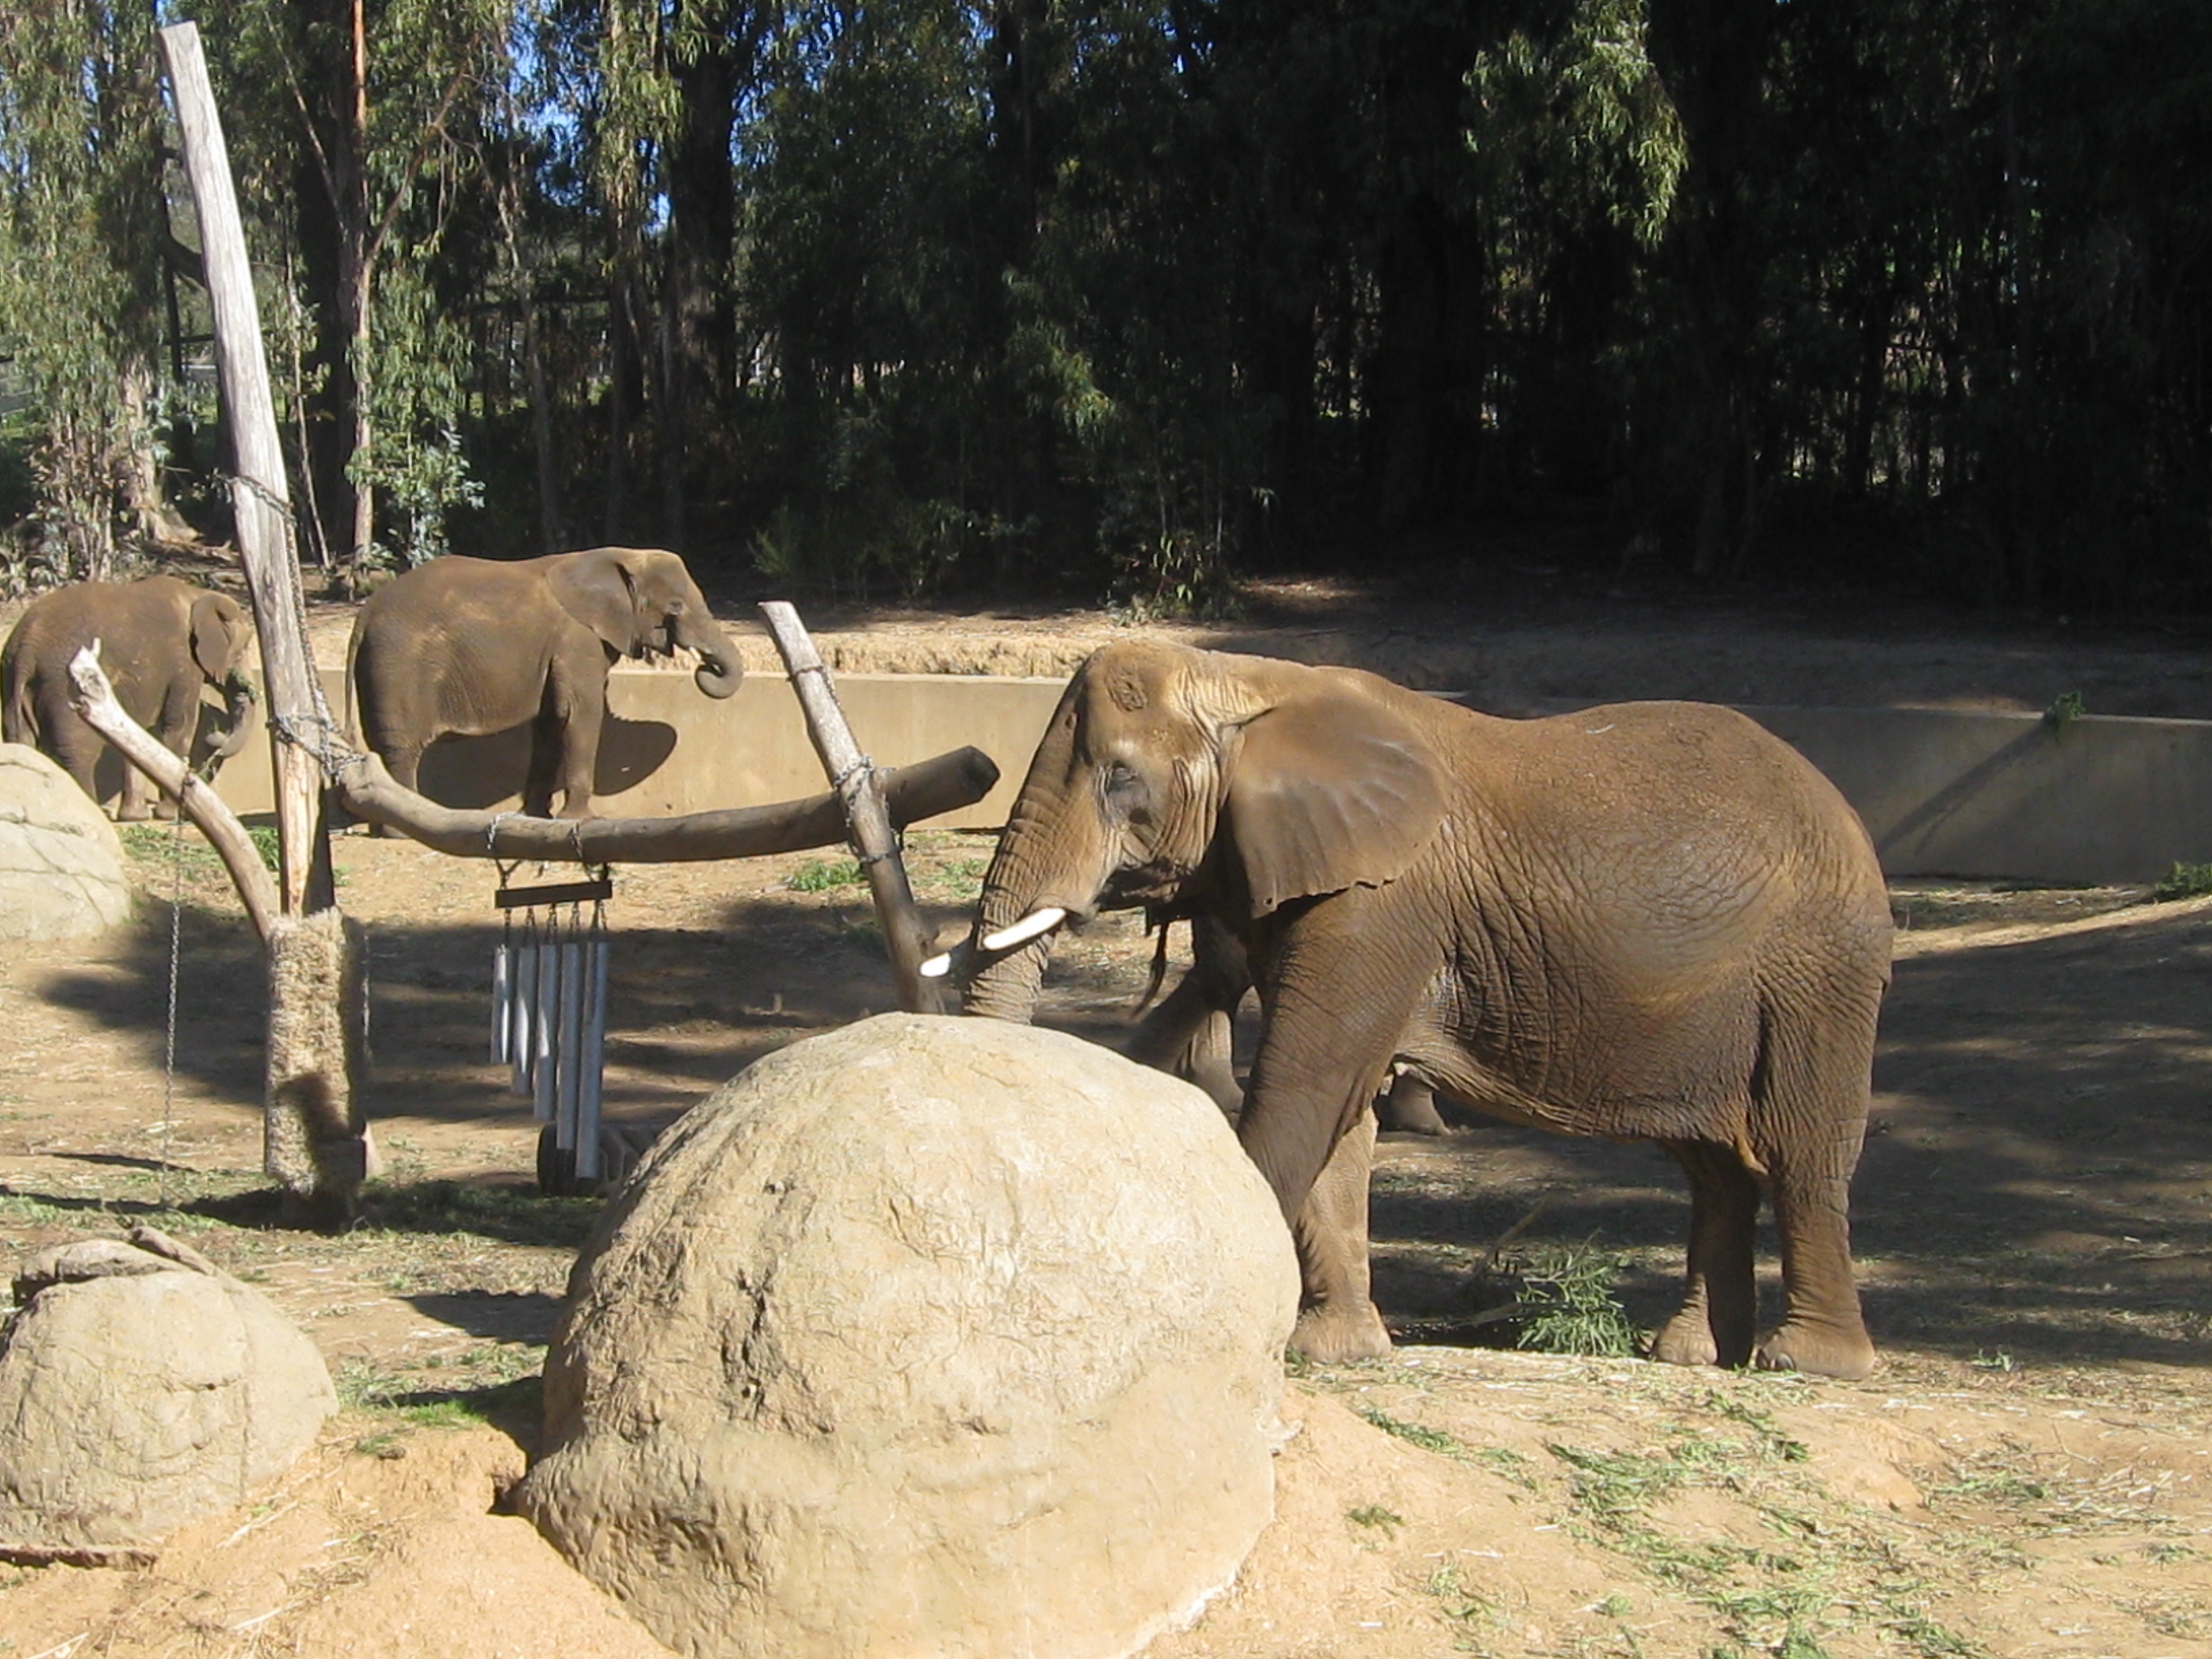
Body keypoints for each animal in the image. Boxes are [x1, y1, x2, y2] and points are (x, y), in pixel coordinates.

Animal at [1, 575, 260, 820]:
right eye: (243, 649)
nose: (215, 736)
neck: (197, 595)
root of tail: (26, 650)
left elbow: (139, 733)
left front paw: (135, 816)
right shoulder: (184, 664)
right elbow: (179, 725)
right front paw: (170, 814)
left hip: (13, 683)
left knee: (22, 743)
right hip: (65, 684)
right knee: (78, 752)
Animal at [346, 546, 742, 819]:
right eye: (675, 606)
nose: (704, 668)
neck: (621, 556)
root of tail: (364, 615)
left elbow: (552, 721)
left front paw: (538, 818)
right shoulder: (577, 638)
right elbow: (580, 713)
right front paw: (582, 820)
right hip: (398, 664)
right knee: (401, 748)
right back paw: (402, 829)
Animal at [955, 641, 1892, 1380]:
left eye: (1122, 780)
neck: (1245, 680)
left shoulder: (1378, 905)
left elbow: (1305, 1090)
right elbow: (1341, 1119)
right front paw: (1336, 1351)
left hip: (1821, 971)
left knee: (1805, 1150)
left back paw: (1808, 1363)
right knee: (1714, 1166)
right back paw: (1695, 1354)